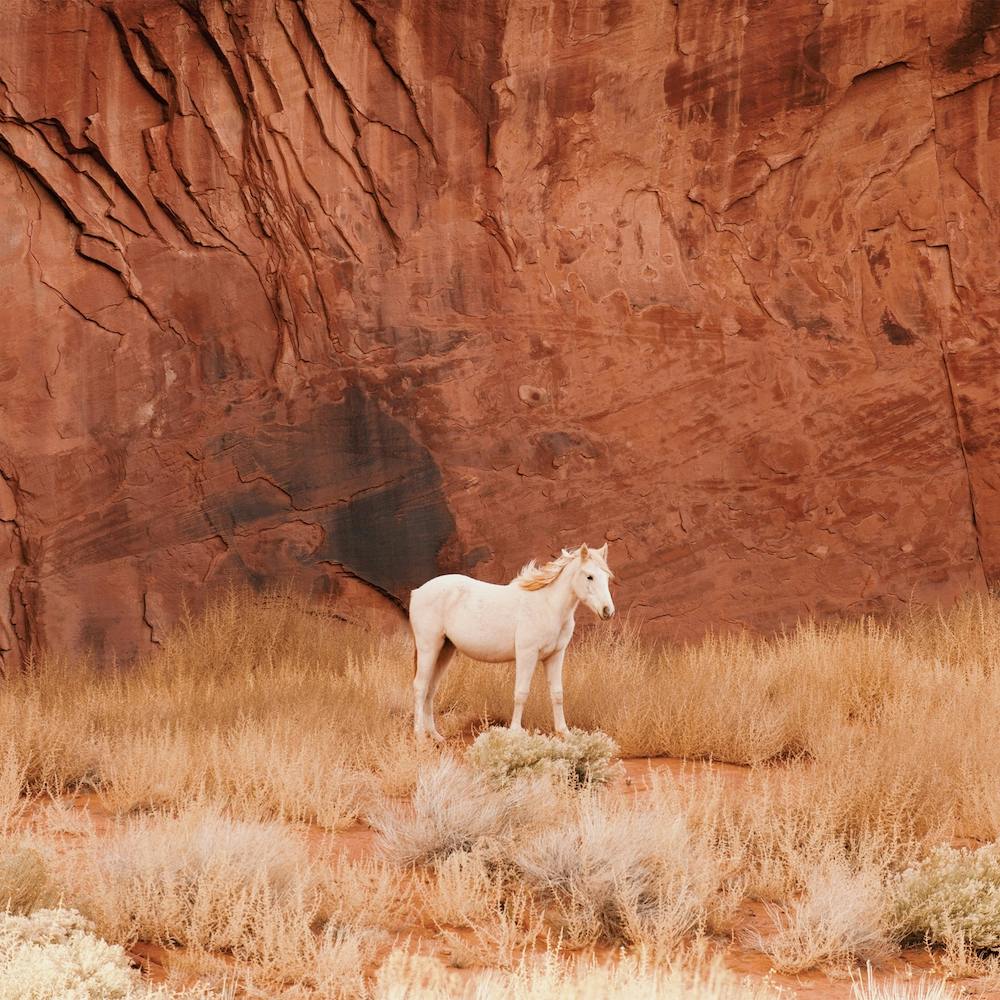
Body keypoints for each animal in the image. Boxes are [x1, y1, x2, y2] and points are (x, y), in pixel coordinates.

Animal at [408, 543, 615, 741]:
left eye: (606, 577)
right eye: (589, 577)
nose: (607, 611)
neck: (548, 605)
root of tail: (417, 592)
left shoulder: (555, 656)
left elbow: (557, 694)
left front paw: (564, 732)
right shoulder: (527, 654)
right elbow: (521, 693)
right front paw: (515, 731)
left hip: (444, 650)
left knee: (431, 689)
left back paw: (435, 735)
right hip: (429, 648)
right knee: (420, 687)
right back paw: (420, 736)